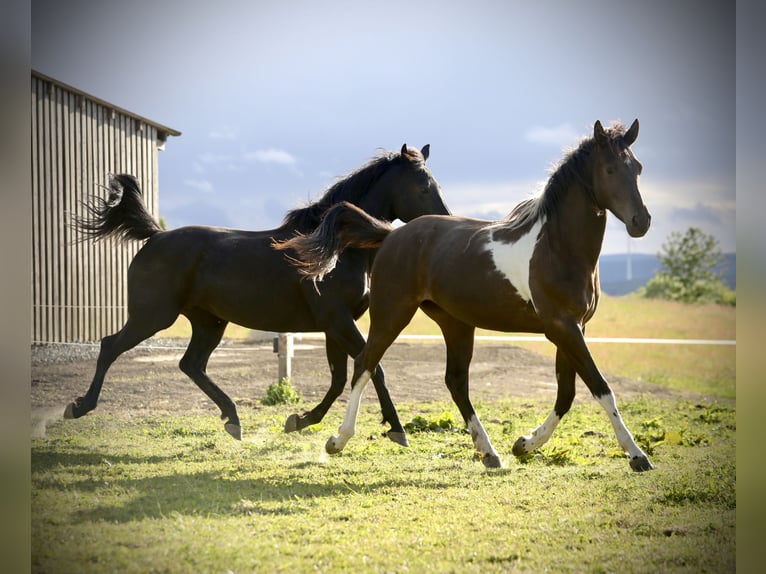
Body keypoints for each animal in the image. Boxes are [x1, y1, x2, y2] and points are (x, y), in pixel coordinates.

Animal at [67, 144, 451, 442]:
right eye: (423, 187)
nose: (444, 223)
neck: (337, 246)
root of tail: (156, 236)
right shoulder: (338, 321)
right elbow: (371, 369)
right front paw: (397, 430)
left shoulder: (335, 326)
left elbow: (339, 379)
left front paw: (298, 421)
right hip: (153, 316)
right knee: (111, 346)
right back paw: (79, 407)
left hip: (208, 322)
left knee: (191, 364)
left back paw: (233, 420)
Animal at [278, 120, 654, 472]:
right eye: (609, 169)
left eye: (637, 167)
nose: (642, 222)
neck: (556, 248)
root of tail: (391, 235)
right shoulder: (562, 327)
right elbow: (600, 387)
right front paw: (637, 455)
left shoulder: (574, 327)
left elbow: (568, 393)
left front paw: (524, 444)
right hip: (392, 313)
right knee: (365, 364)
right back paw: (338, 440)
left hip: (455, 323)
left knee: (455, 382)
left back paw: (489, 452)